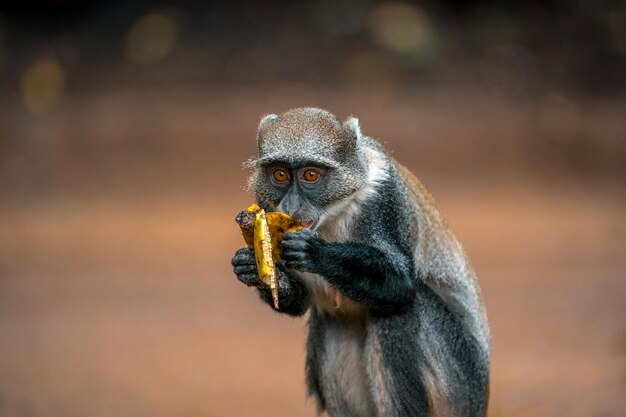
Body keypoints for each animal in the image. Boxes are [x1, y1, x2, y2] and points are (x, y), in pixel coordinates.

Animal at [229, 108, 488, 416]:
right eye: (279, 174)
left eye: (311, 174)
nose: (291, 206)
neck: (332, 212)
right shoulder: (265, 203)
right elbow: (299, 303)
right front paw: (248, 266)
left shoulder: (382, 197)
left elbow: (401, 285)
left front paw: (316, 253)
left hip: (459, 386)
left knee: (403, 311)